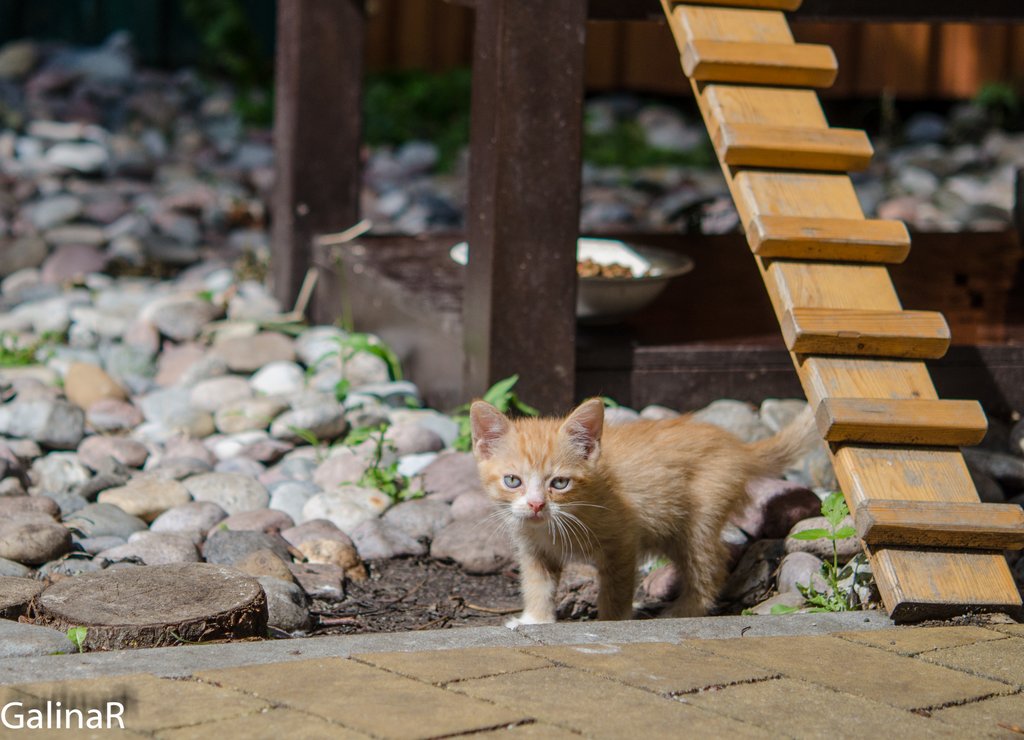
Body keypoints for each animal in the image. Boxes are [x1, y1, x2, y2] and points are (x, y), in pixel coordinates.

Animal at [468, 399, 815, 626]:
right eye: (513, 481)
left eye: (560, 483)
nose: (537, 504)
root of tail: (739, 447)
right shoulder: (534, 549)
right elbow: (537, 584)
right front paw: (536, 620)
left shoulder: (622, 540)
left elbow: (617, 587)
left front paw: (611, 621)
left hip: (699, 521)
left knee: (711, 565)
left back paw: (683, 610)